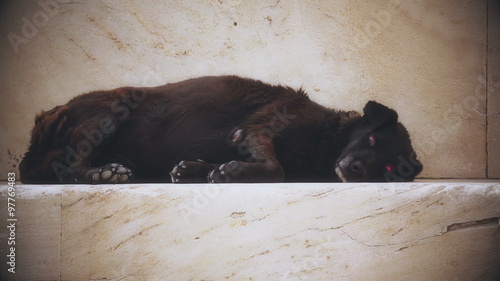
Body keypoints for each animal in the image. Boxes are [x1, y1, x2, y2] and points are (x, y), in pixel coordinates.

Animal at [19, 75, 422, 184]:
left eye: (388, 167)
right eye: (371, 137)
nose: (355, 168)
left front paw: (199, 169)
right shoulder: (255, 130)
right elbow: (276, 168)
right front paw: (232, 172)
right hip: (111, 111)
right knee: (66, 168)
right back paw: (104, 173)